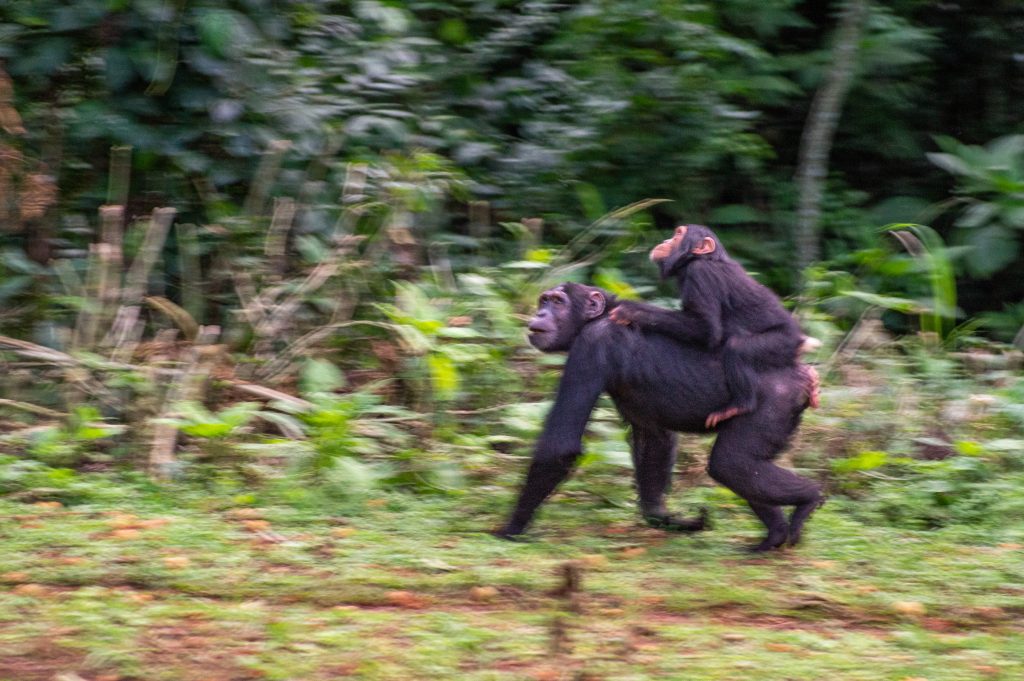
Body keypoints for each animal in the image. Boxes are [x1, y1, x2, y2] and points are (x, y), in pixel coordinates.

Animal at [495, 282, 823, 552]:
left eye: (557, 302)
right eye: (544, 299)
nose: (540, 312)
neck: (599, 317)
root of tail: (803, 375)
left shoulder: (592, 345)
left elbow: (560, 444)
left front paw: (510, 528)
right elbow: (654, 440)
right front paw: (668, 519)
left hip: (774, 402)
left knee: (732, 462)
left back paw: (809, 498)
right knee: (748, 466)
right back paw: (775, 535)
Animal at [610, 225, 802, 428]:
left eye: (678, 235)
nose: (666, 241)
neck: (699, 259)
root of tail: (800, 341)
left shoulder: (700, 274)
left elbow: (707, 329)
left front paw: (630, 311)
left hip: (782, 343)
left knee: (737, 348)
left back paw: (739, 406)